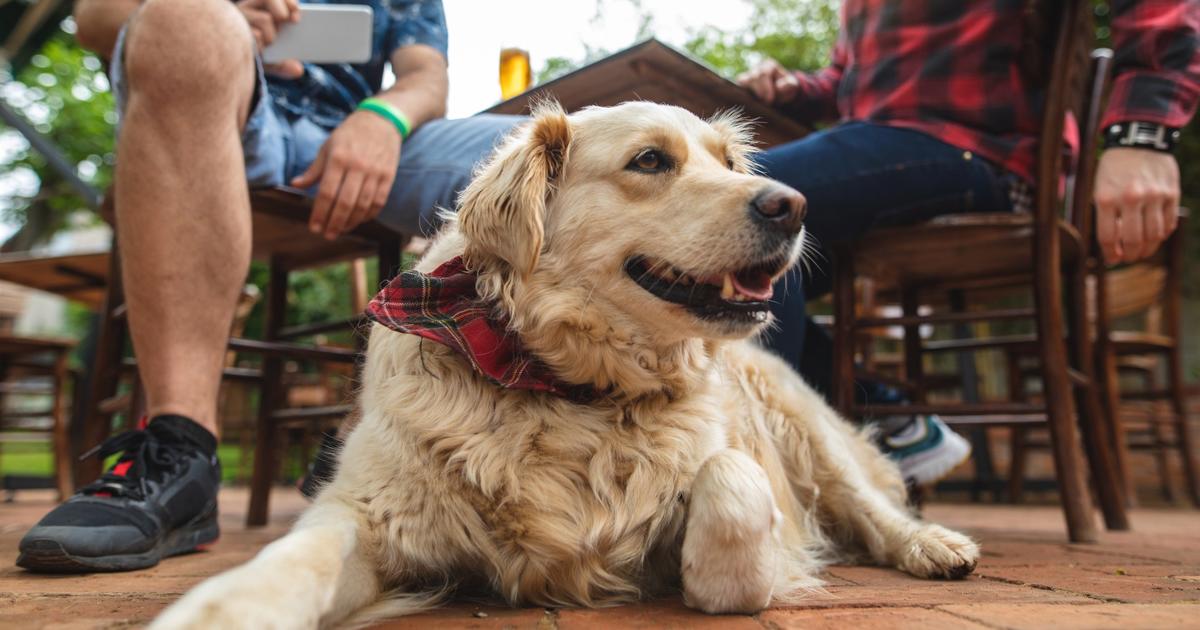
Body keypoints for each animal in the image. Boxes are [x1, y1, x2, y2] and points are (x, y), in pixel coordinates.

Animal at [152, 100, 974, 624]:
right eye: (651, 160)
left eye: (728, 162)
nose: (794, 206)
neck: (569, 386)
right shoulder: (366, 509)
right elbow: (295, 558)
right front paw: (225, 611)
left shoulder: (733, 463)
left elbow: (730, 482)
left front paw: (727, 573)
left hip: (802, 423)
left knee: (867, 505)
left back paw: (933, 545)